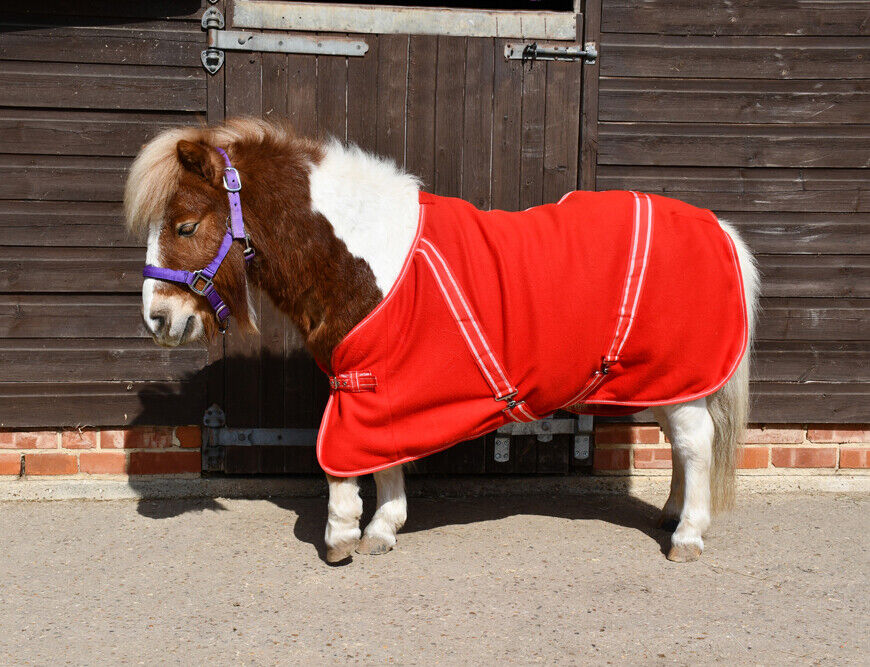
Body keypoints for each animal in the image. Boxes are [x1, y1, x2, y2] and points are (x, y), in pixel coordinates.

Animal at [124, 117, 759, 563]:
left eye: (185, 226)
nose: (156, 319)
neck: (366, 253)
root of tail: (717, 227)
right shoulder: (379, 383)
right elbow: (383, 455)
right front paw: (382, 529)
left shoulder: (362, 383)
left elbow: (343, 459)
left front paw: (341, 535)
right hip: (668, 380)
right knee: (683, 447)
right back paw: (671, 514)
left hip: (678, 375)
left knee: (696, 443)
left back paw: (688, 536)